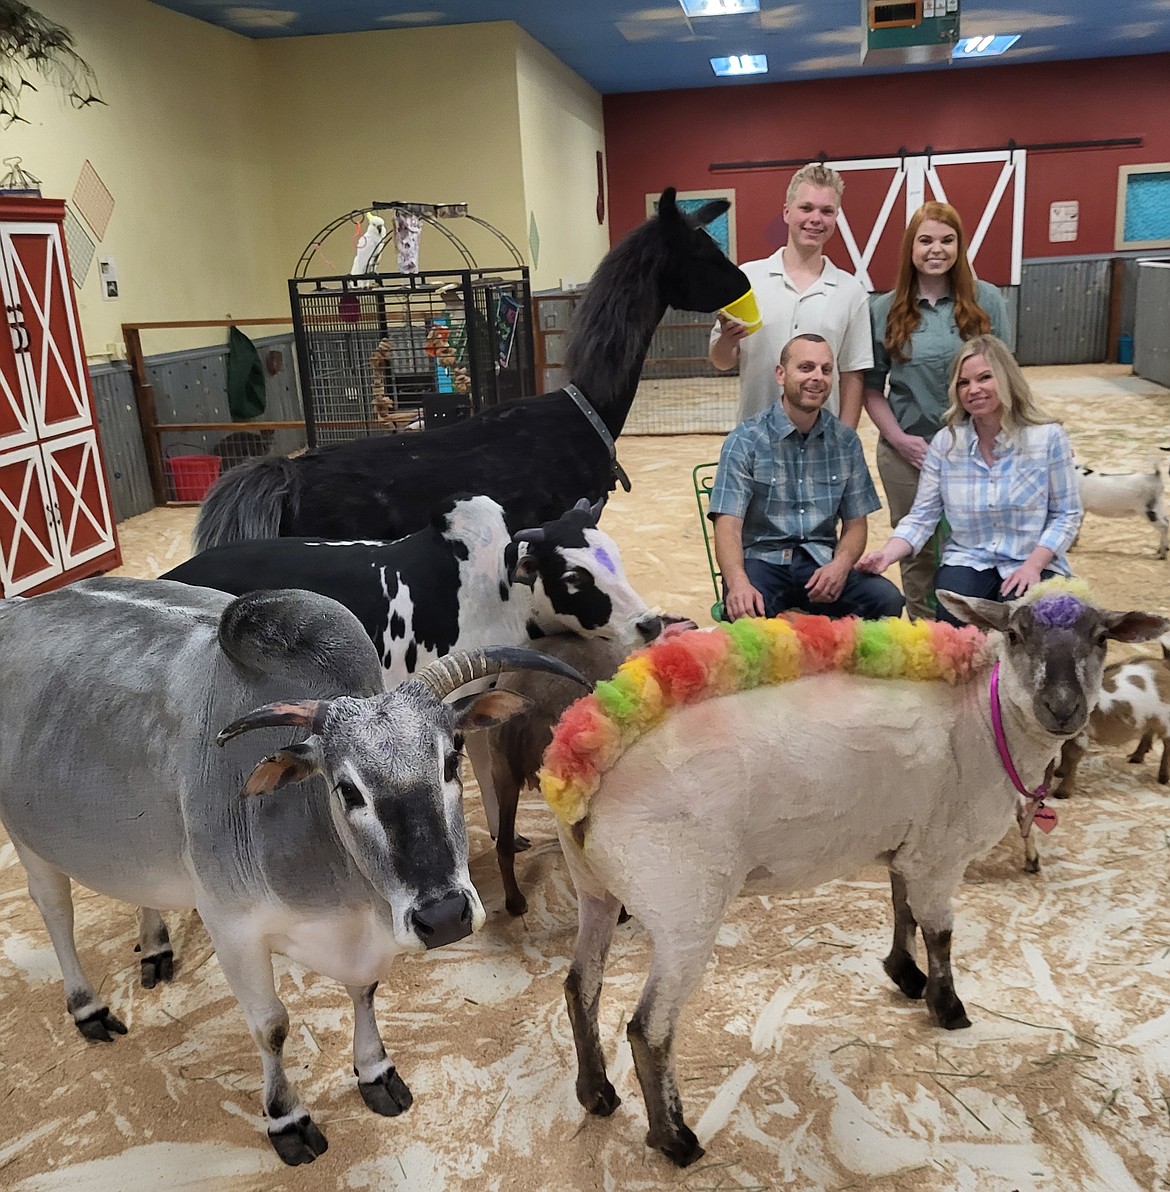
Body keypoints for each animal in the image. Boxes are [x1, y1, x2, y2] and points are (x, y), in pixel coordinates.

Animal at [0, 581, 586, 1168]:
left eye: (451, 759)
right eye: (347, 788)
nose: (444, 917)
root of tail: (20, 606)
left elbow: (365, 990)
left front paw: (375, 1072)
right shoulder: (231, 927)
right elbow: (271, 1027)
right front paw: (287, 1117)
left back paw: (156, 946)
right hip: (29, 842)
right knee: (55, 913)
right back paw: (88, 1007)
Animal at [543, 581, 1170, 1168]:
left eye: (1101, 638)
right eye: (1014, 635)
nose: (1062, 708)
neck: (984, 724)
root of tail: (583, 783)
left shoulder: (909, 845)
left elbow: (902, 909)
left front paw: (904, 975)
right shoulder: (940, 854)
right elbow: (941, 932)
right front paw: (948, 1008)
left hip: (597, 891)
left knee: (580, 987)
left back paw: (596, 1094)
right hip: (683, 908)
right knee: (648, 1030)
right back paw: (675, 1140)